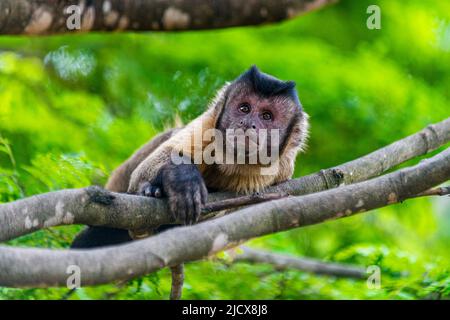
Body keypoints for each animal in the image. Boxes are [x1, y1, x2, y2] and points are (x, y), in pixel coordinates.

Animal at [71, 64, 310, 296]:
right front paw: (182, 179)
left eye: (267, 116)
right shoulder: (206, 126)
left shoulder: (282, 174)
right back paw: (152, 191)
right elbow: (147, 168)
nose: (248, 123)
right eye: (244, 108)